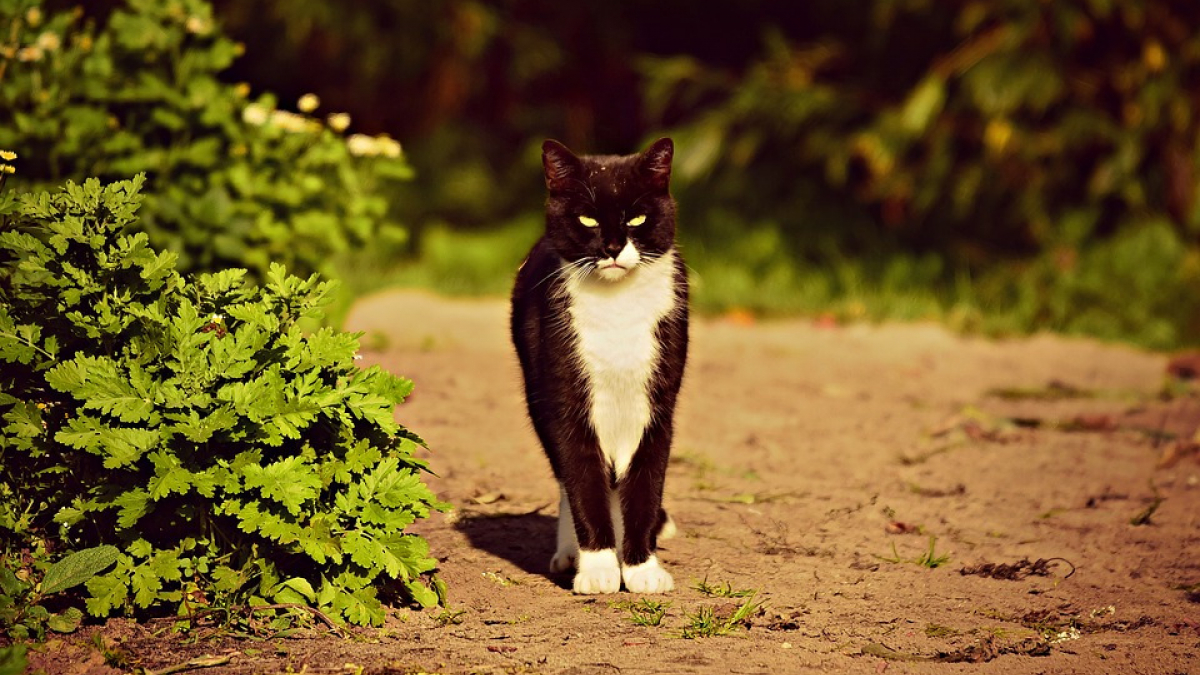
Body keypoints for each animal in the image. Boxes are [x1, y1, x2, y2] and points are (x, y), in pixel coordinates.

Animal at [511, 139, 691, 590]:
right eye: (588, 218)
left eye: (638, 217)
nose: (611, 248)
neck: (617, 308)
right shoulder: (564, 401)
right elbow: (582, 481)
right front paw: (597, 569)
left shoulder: (657, 405)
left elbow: (644, 484)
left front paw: (641, 568)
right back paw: (569, 554)